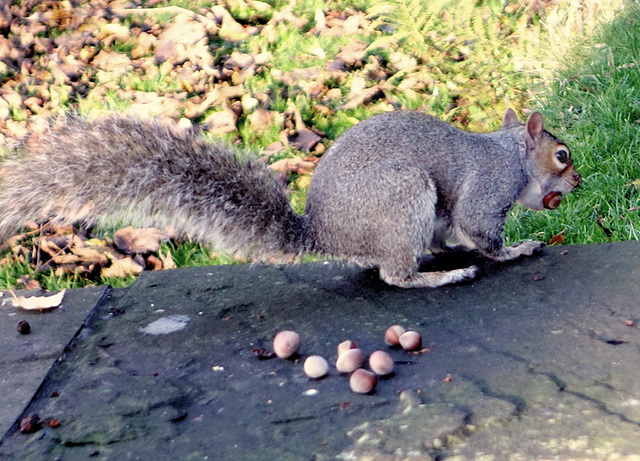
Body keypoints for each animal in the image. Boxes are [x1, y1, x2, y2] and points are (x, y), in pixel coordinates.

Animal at [0, 109, 580, 286]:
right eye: (562, 156)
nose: (578, 183)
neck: (509, 153)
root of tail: (325, 233)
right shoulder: (488, 189)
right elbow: (483, 232)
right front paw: (519, 249)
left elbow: (456, 231)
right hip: (402, 197)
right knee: (394, 276)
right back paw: (440, 276)